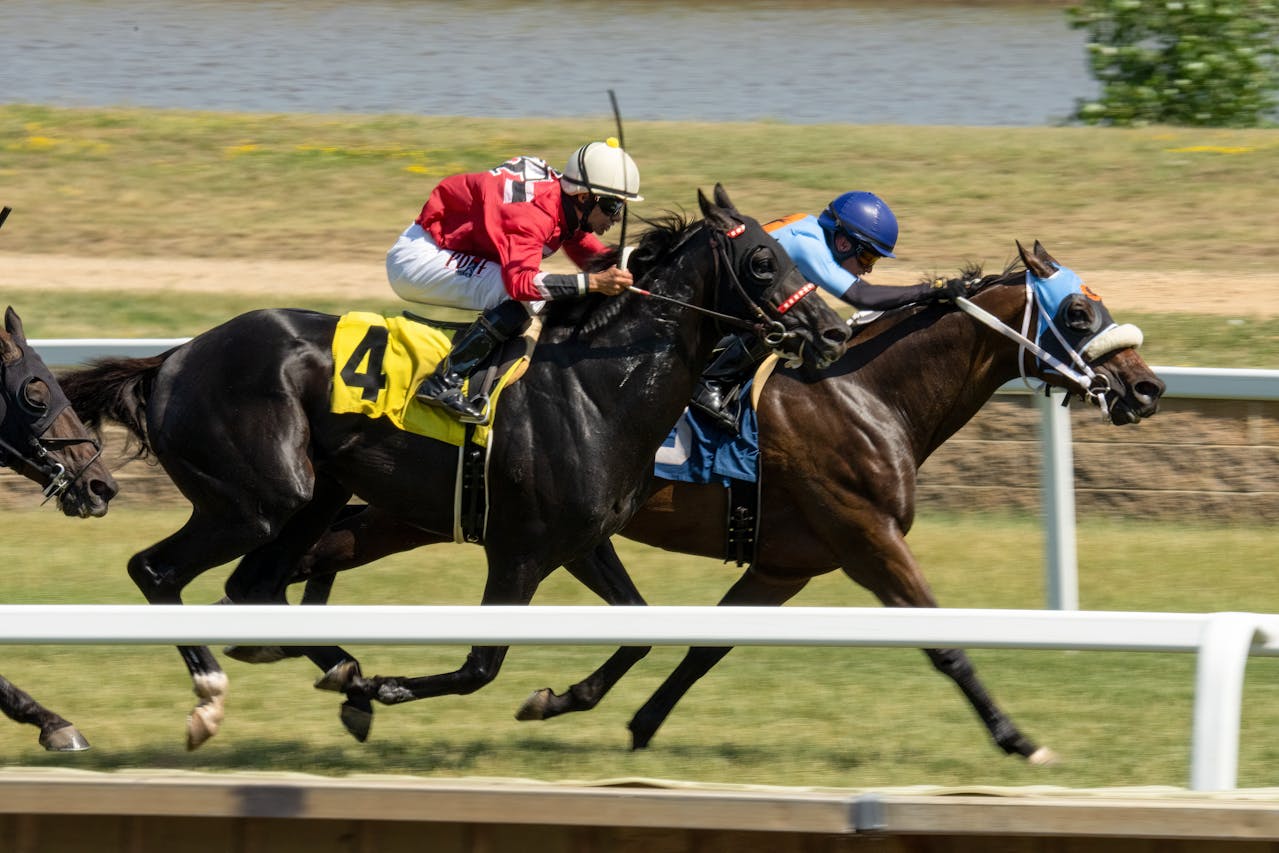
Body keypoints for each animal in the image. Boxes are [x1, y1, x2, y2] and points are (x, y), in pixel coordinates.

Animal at [58, 185, 850, 750]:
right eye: (762, 260)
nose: (834, 333)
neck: (595, 388)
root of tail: (173, 359)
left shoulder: (582, 542)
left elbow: (640, 629)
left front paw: (555, 699)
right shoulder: (519, 550)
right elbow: (479, 667)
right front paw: (394, 687)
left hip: (316, 493)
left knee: (254, 585)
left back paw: (340, 672)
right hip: (258, 500)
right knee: (157, 570)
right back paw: (217, 696)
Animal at [248, 240, 1165, 762]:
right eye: (1078, 309)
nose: (1146, 388)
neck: (865, 393)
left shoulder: (788, 563)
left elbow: (702, 646)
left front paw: (624, 719)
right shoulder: (866, 537)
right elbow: (943, 643)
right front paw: (1016, 737)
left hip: (423, 511)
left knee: (325, 546)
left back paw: (324, 661)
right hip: (435, 512)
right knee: (318, 548)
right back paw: (318, 658)